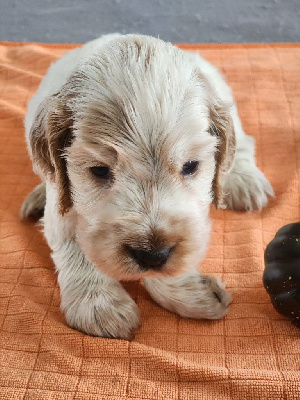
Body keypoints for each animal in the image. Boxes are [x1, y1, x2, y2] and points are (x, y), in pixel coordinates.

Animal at [21, 34, 274, 340]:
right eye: (99, 170)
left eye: (190, 166)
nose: (152, 254)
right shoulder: (64, 198)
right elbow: (75, 244)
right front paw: (100, 305)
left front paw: (193, 292)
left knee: (244, 144)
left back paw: (243, 180)